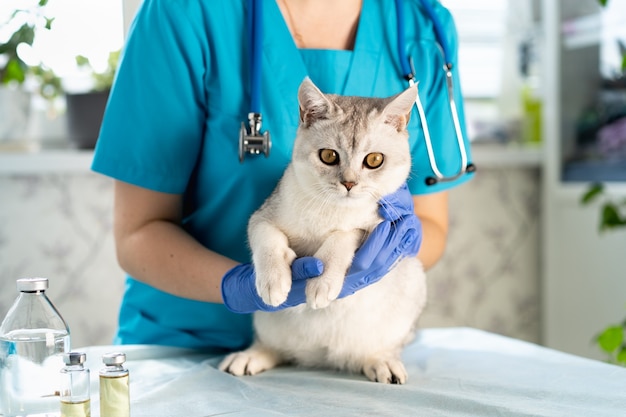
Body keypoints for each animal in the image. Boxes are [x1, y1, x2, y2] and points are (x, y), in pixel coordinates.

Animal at [217, 78, 426, 384]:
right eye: (328, 156)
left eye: (374, 160)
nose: (349, 183)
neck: (331, 208)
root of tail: (320, 356)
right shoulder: (262, 216)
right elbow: (267, 239)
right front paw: (273, 281)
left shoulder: (382, 229)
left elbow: (344, 235)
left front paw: (322, 282)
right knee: (274, 348)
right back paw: (249, 357)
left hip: (411, 285)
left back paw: (382, 362)